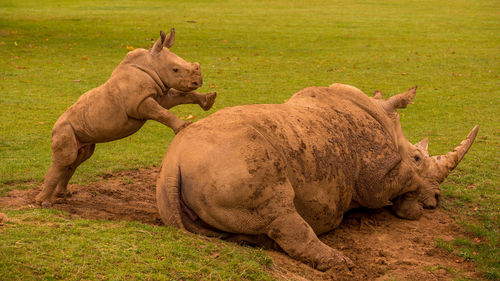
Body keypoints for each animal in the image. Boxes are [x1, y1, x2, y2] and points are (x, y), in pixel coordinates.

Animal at [35, 29, 215, 206]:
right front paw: (183, 127)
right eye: (175, 70)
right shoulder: (140, 103)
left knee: (78, 158)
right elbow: (163, 113)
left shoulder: (161, 96)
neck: (151, 64)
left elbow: (183, 96)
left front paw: (209, 100)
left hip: (80, 131)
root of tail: (54, 127)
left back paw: (63, 195)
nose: (198, 81)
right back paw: (44, 203)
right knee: (66, 159)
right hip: (64, 128)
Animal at [155, 82, 476, 270]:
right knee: (279, 211)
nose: (437, 198)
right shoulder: (375, 180)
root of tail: (172, 164)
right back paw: (341, 264)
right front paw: (413, 207)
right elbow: (403, 178)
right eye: (418, 157)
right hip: (237, 156)